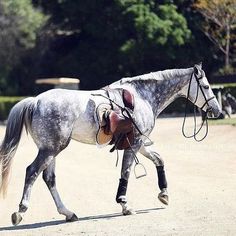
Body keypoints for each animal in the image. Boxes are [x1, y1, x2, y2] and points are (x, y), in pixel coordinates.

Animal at [0, 64, 221, 225]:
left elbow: (159, 159)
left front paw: (164, 193)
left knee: (49, 178)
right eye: (207, 87)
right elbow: (126, 172)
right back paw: (21, 211)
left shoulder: (140, 143)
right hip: (50, 150)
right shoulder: (135, 144)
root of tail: (35, 101)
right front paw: (124, 205)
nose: (217, 110)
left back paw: (68, 213)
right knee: (32, 172)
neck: (142, 97)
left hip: (51, 150)